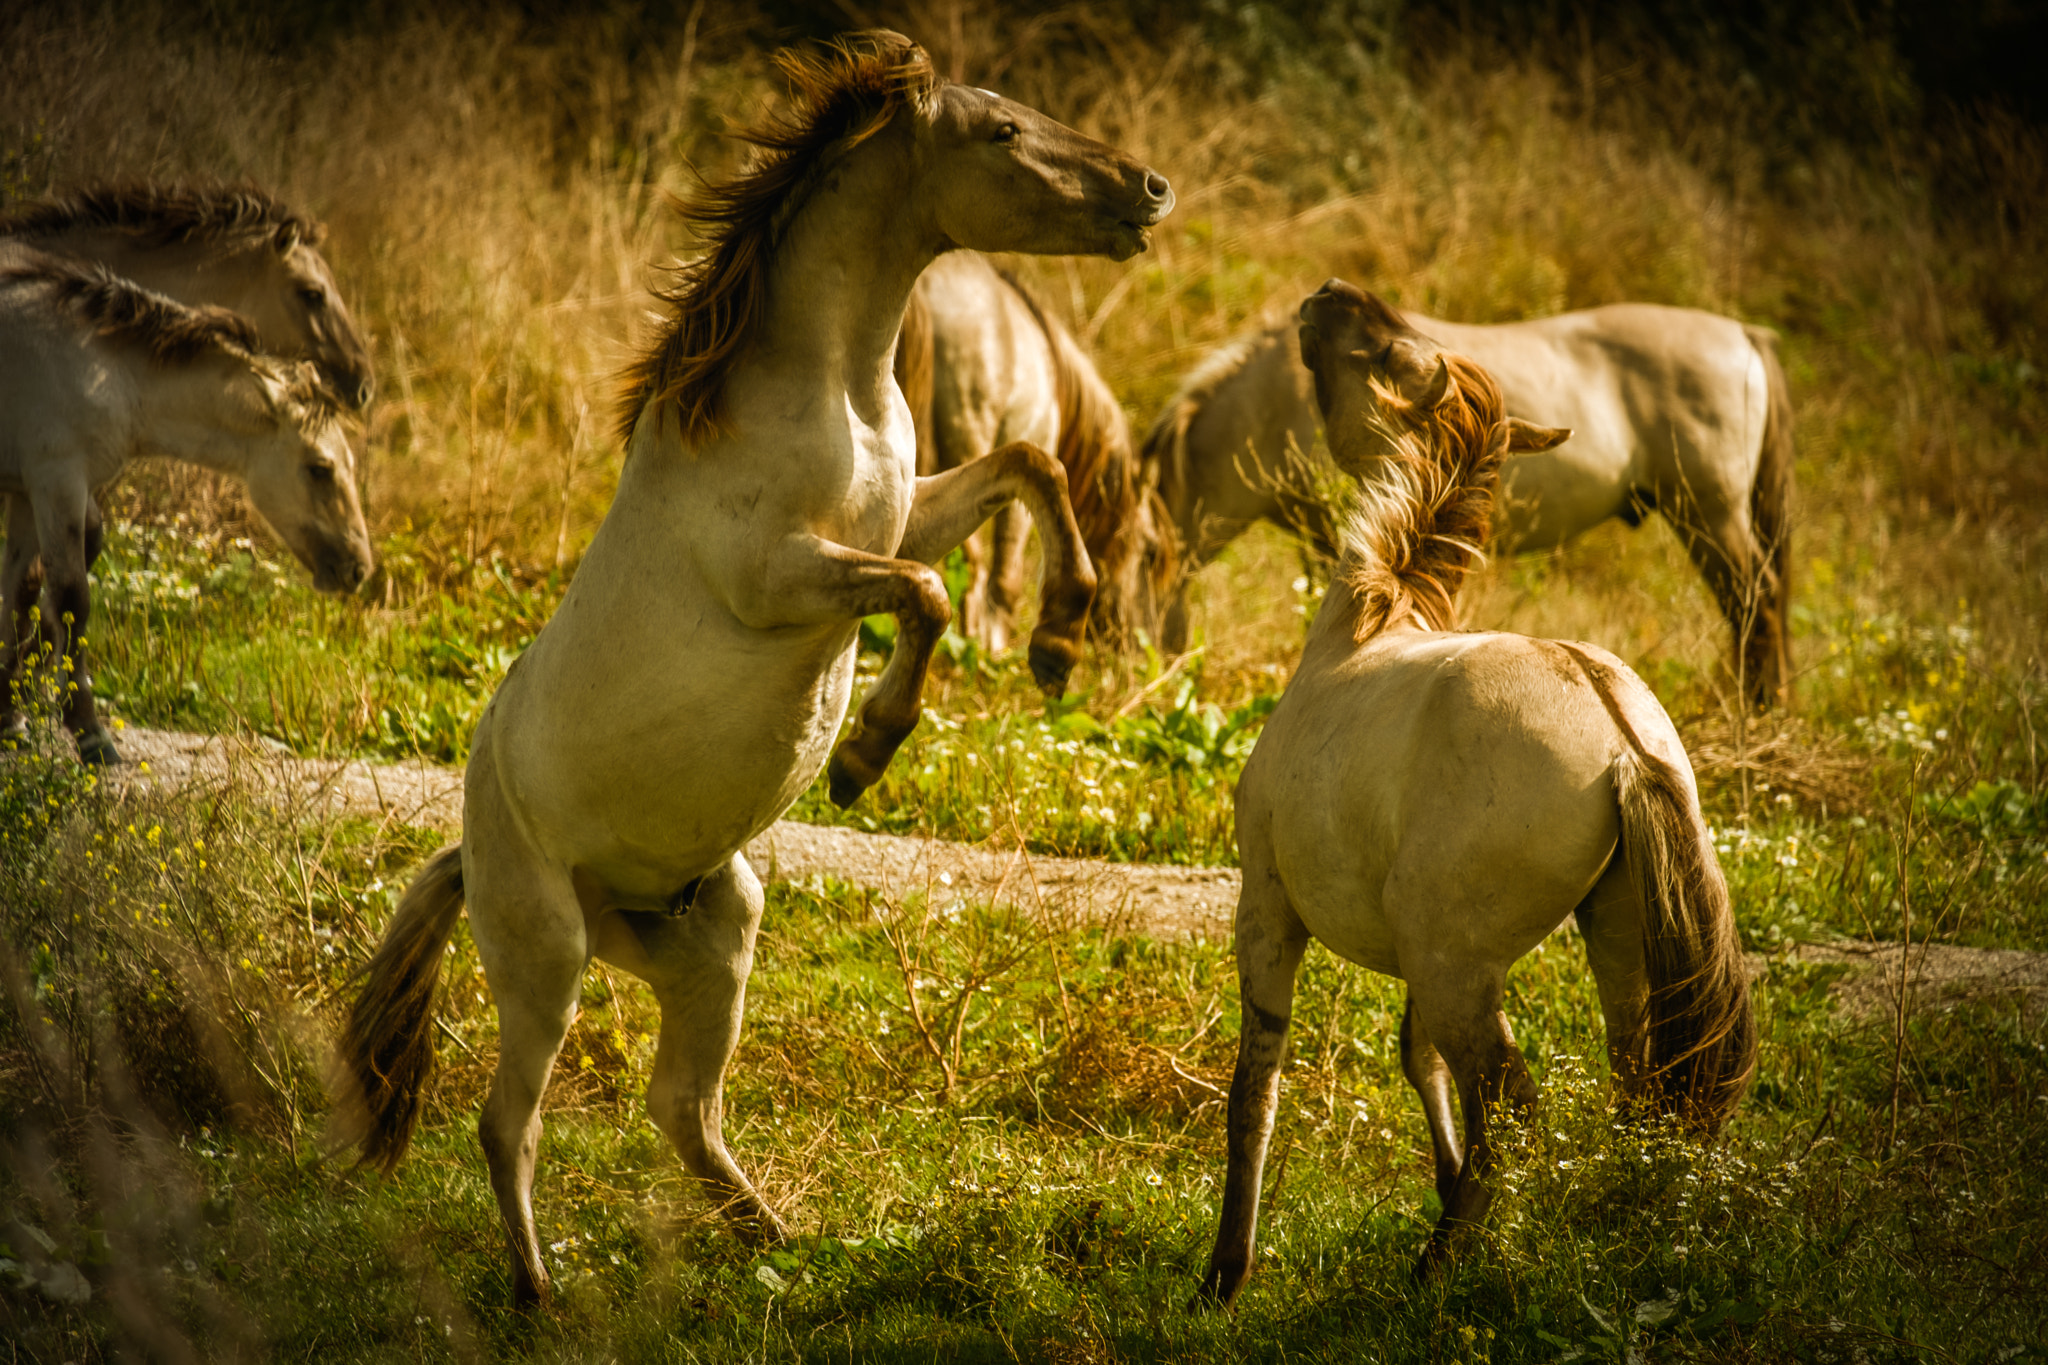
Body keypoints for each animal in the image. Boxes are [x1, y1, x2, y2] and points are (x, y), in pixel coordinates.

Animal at [0, 252, 374, 765]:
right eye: (320, 468)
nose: (360, 567)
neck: (106, 372)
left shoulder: (26, 492)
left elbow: (15, 592)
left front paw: (8, 717)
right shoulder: (57, 481)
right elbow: (71, 598)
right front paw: (90, 733)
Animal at [1146, 302, 1802, 712]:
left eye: (1146, 553)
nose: (1144, 661)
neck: (1274, 395)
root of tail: (1746, 333)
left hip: (1710, 516)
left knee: (1756, 602)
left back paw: (1758, 712)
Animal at [1196, 280, 1753, 1309]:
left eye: (1383, 348)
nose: (1327, 294)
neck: (1366, 623)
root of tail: (1621, 738)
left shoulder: (1267, 907)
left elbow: (1257, 1082)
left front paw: (1225, 1270)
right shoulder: (1412, 959)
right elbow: (1415, 1060)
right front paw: (1445, 1176)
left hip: (1460, 962)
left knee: (1517, 1104)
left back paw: (1438, 1265)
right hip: (1609, 938)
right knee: (1633, 1083)